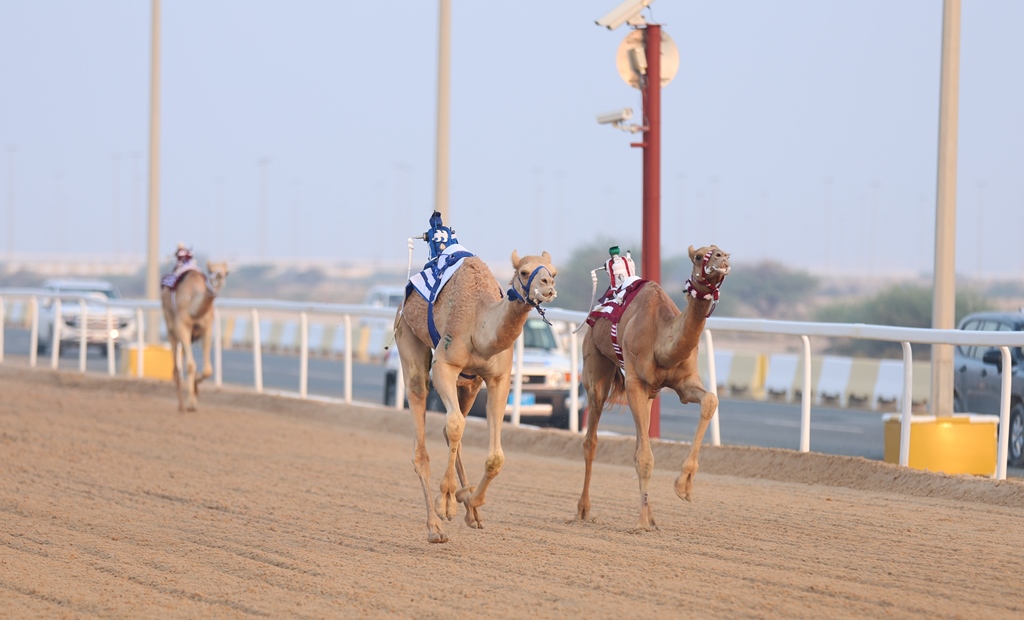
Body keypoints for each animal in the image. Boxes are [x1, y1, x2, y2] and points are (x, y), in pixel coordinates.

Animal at [391, 246, 557, 541]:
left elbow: (495, 456)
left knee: (451, 428)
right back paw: (435, 526)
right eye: (524, 272)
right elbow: (456, 424)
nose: (548, 286)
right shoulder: (445, 366)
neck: (481, 323)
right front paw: (446, 501)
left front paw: (471, 500)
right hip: (407, 334)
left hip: (470, 384)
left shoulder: (498, 378)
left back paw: (470, 510)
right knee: (424, 428)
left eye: (555, 272)